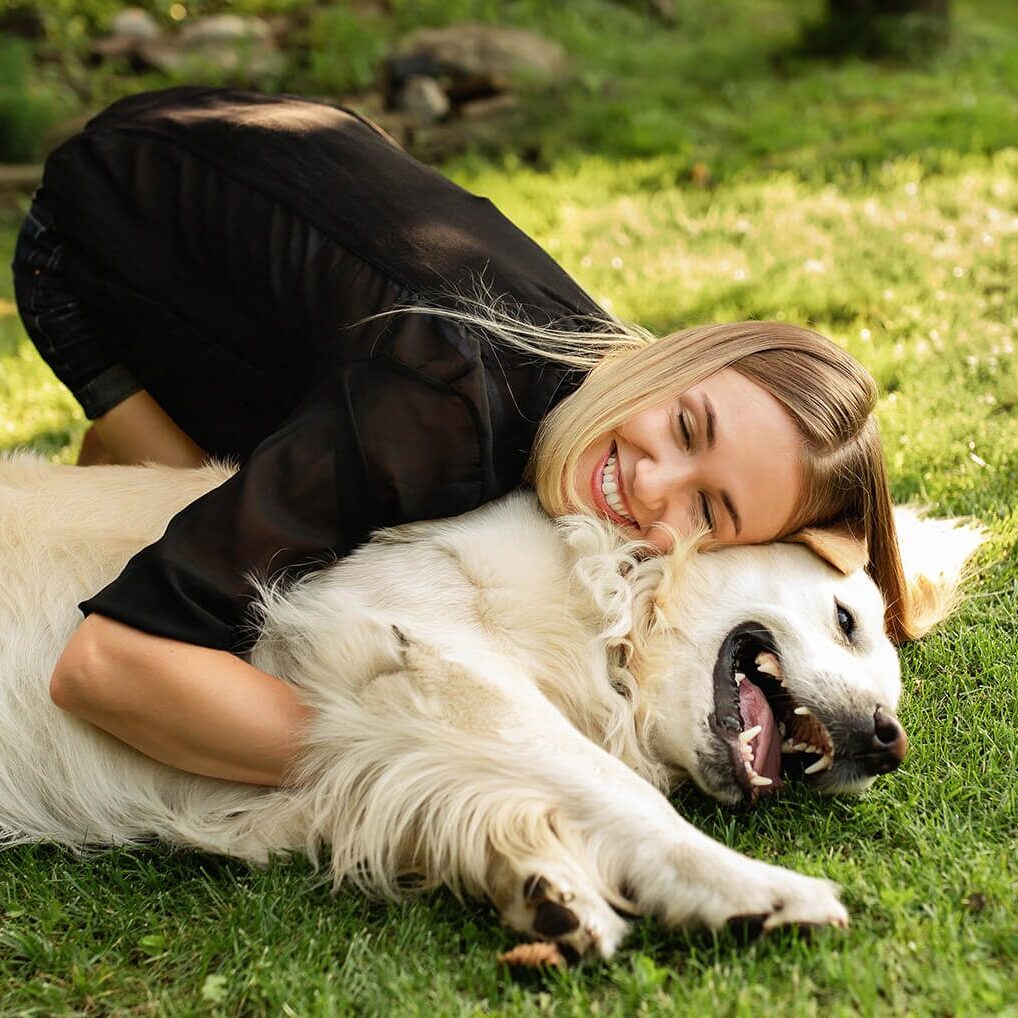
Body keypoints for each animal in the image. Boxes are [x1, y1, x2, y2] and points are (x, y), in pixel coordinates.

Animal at [0, 454, 977, 960]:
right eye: (848, 621)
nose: (888, 743)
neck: (598, 612)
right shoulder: (398, 638)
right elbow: (616, 789)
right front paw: (750, 889)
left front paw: (540, 883)